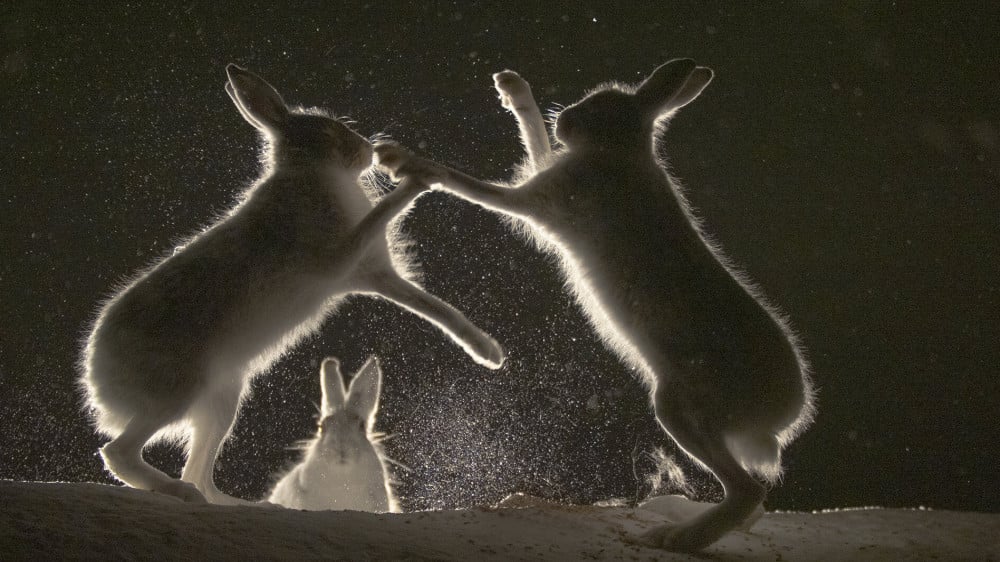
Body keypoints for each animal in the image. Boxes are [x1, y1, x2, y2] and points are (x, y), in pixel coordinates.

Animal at [376, 59, 812, 548]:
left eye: (596, 105)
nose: (565, 118)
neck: (618, 148)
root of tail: (783, 416)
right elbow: (535, 141)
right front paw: (513, 90)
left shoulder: (541, 195)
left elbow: (468, 183)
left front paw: (401, 159)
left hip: (682, 406)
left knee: (746, 492)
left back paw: (673, 538)